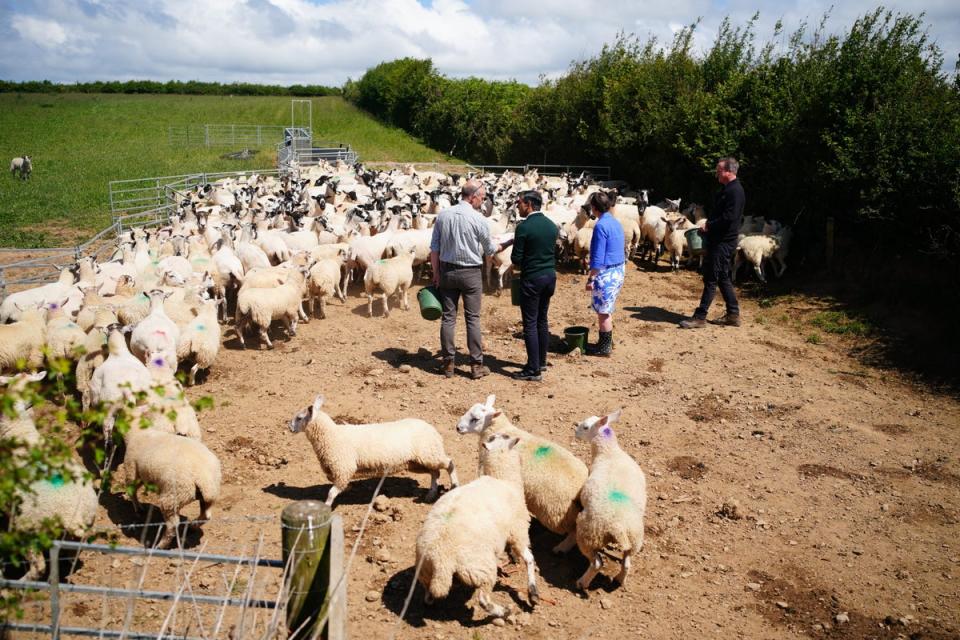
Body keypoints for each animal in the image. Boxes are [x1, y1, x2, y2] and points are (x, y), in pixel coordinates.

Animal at [122, 420, 221, 552]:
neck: (137, 431)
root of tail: (205, 479)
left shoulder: (132, 468)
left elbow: (131, 491)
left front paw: (138, 509)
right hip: (206, 496)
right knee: (206, 515)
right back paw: (192, 526)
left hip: (172, 497)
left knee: (172, 525)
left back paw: (160, 545)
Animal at [286, 392, 460, 508]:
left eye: (300, 418)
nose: (289, 427)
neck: (331, 436)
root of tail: (432, 430)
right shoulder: (339, 470)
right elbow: (334, 483)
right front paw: (348, 488)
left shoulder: (344, 468)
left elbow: (331, 492)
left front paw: (327, 506)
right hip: (418, 461)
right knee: (435, 472)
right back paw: (431, 494)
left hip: (428, 453)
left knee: (449, 463)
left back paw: (454, 485)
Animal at [414, 430, 540, 620]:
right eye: (504, 438)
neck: (502, 478)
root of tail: (440, 558)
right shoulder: (518, 531)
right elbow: (529, 559)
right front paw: (533, 592)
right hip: (481, 569)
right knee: (483, 599)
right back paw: (503, 612)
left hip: (425, 572)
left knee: (428, 597)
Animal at [456, 392, 588, 552]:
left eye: (475, 419)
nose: (457, 427)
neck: (499, 429)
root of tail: (583, 485)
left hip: (558, 512)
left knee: (573, 531)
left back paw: (561, 548)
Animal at [572, 408, 648, 592]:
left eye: (585, 427)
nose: (575, 431)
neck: (609, 452)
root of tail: (618, 527)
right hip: (634, 541)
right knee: (627, 564)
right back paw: (619, 580)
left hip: (588, 535)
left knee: (597, 564)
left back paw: (581, 583)